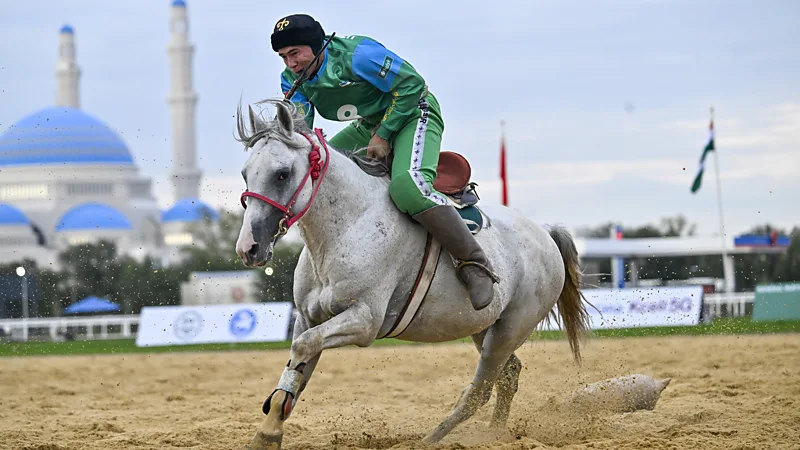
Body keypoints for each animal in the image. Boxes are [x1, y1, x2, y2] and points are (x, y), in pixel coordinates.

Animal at [234, 100, 592, 448]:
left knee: (480, 390)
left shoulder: (364, 321)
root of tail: (545, 233)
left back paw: (433, 439)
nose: (248, 247)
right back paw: (494, 435)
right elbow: (295, 371)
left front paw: (268, 434)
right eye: (245, 173)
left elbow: (304, 347)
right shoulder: (308, 318)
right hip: (485, 327)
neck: (350, 225)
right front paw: (268, 431)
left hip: (510, 330)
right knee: (509, 375)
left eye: (282, 174)